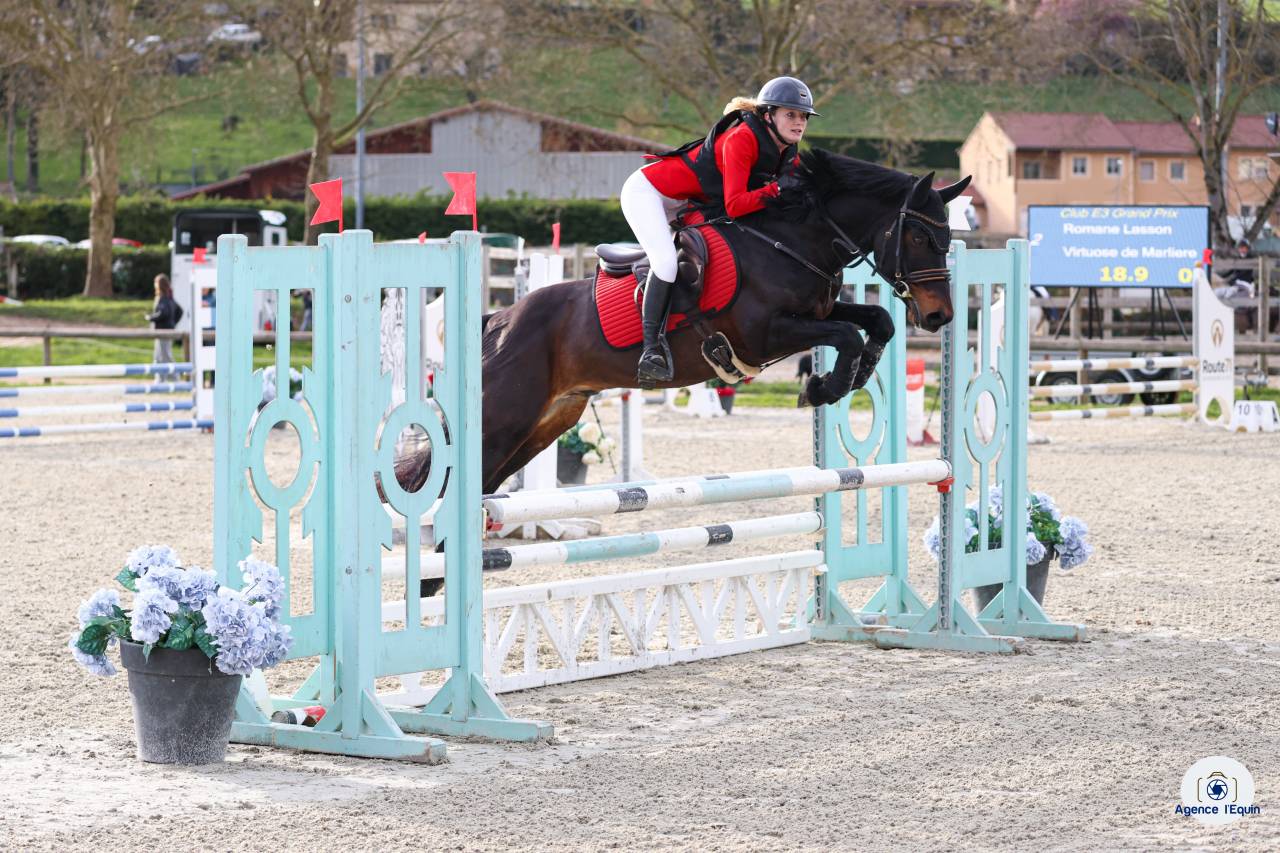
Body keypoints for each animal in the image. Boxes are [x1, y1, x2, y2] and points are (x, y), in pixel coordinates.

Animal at [396, 148, 970, 496]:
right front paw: (823, 388)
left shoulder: (819, 312)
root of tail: (498, 321)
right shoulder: (764, 334)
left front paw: (853, 375)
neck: (790, 240)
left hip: (545, 422)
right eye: (920, 235)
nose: (939, 315)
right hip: (505, 417)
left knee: (480, 483)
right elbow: (847, 333)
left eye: (948, 236)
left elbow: (876, 320)